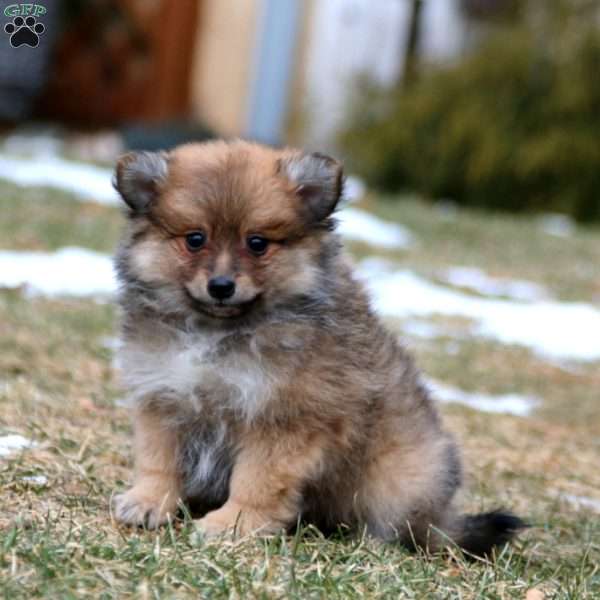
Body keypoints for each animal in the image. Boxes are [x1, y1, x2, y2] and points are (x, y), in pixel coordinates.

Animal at [110, 138, 524, 556]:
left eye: (257, 243)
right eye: (195, 239)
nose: (222, 286)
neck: (217, 332)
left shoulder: (284, 416)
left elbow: (256, 479)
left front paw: (232, 524)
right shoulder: (164, 396)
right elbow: (159, 460)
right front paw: (148, 502)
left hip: (401, 477)